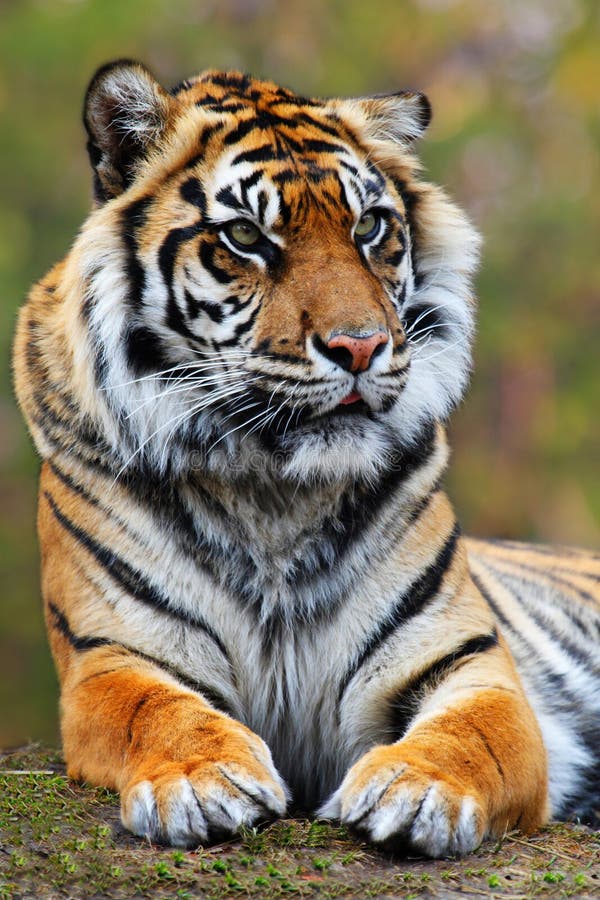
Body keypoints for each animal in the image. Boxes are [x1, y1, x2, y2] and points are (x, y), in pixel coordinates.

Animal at [13, 60, 599, 858]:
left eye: (370, 226)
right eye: (245, 236)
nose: (360, 346)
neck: (275, 494)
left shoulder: (469, 660)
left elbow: (472, 734)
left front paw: (418, 789)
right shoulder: (114, 654)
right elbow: (154, 711)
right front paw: (202, 779)